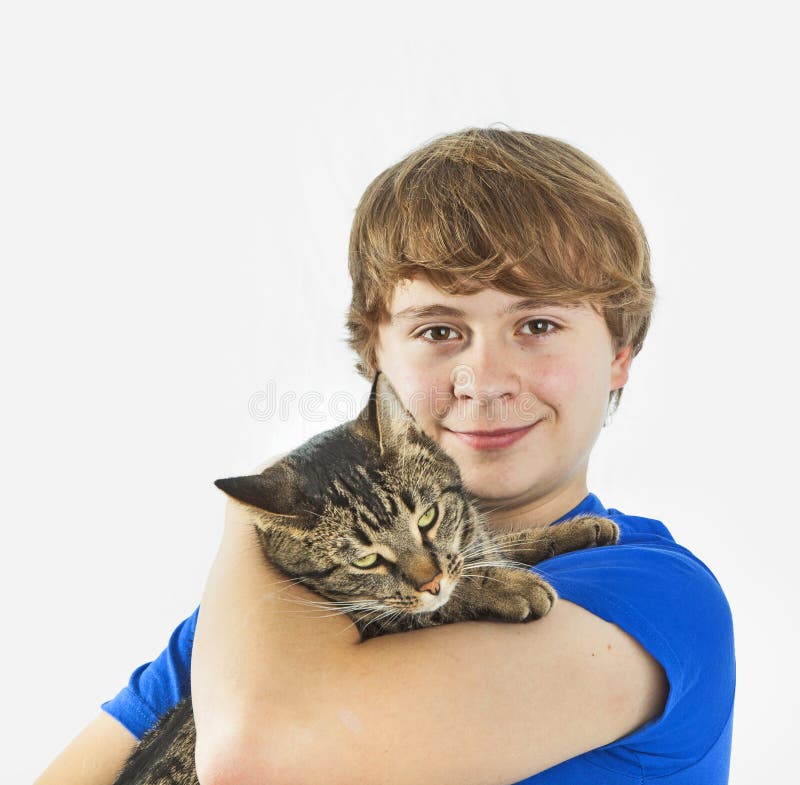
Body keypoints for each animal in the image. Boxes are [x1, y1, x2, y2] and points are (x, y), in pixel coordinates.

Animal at [112, 370, 620, 780]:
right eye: (365, 562)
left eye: (428, 517)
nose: (430, 582)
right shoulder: (381, 618)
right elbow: (434, 602)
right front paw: (508, 585)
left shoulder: (467, 545)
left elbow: (495, 544)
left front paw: (579, 528)